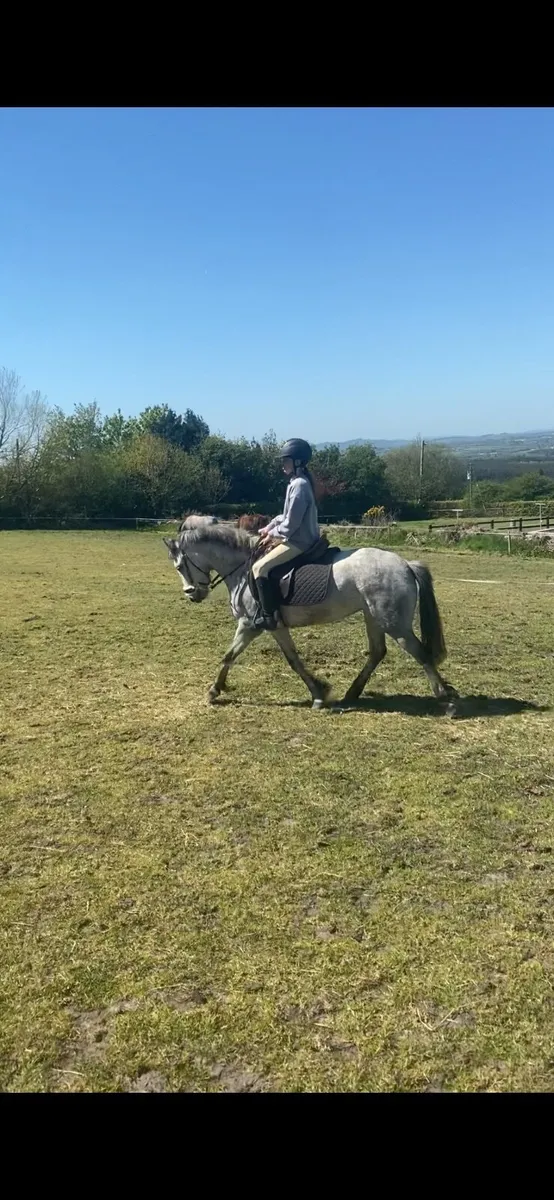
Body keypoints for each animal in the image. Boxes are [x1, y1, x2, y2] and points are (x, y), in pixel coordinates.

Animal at [163, 525, 459, 714]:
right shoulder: (273, 627)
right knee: (377, 652)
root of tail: (406, 564)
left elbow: (231, 655)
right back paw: (351, 694)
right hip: (373, 617)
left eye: (180, 566)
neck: (243, 569)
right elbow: (290, 659)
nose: (193, 594)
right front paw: (319, 693)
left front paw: (213, 691)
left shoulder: (250, 625)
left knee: (419, 653)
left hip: (394, 623)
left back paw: (446, 701)